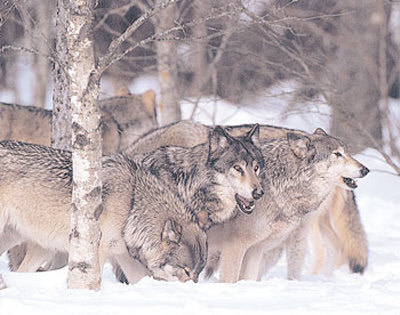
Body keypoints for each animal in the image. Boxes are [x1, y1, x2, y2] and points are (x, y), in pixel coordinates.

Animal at [0, 141, 206, 286]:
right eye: (186, 271)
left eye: (197, 274)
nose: (193, 288)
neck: (132, 205)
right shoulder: (96, 252)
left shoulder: (123, 255)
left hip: (38, 247)